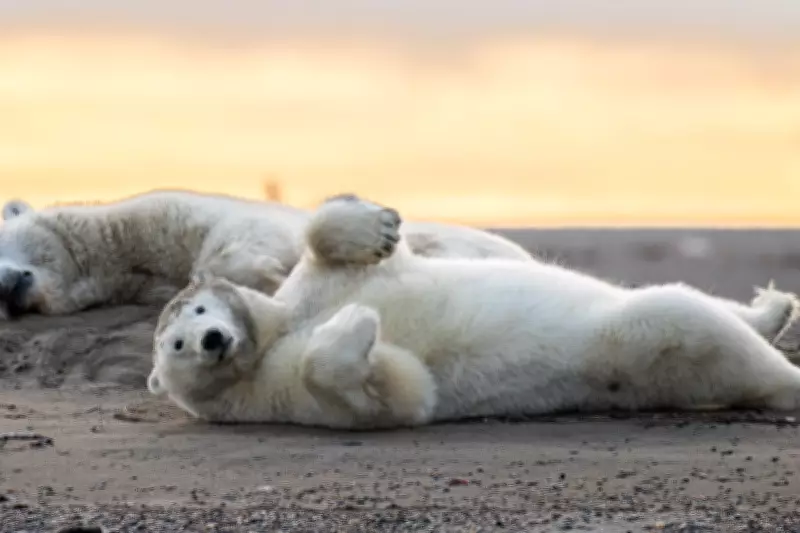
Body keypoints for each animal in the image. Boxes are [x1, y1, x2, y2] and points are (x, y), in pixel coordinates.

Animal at [147, 194, 800, 430]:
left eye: (198, 307)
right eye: (174, 345)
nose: (210, 340)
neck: (270, 336)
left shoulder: (309, 289)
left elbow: (337, 247)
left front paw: (377, 226)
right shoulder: (272, 396)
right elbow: (399, 392)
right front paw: (356, 326)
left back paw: (772, 308)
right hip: (644, 352)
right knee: (685, 321)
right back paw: (786, 378)